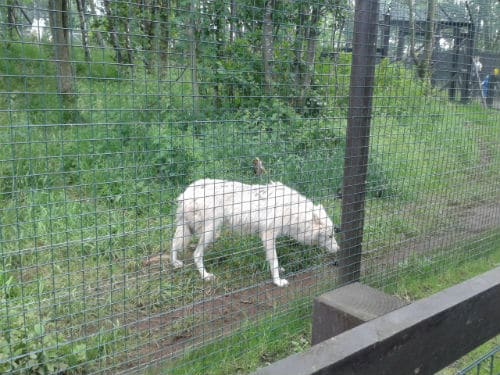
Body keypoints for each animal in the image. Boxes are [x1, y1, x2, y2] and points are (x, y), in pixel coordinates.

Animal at [172, 179, 340, 288]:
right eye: (330, 236)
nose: (339, 249)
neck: (292, 211)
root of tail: (185, 193)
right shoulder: (268, 235)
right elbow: (274, 260)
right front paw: (278, 281)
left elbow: (273, 259)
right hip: (211, 232)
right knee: (196, 254)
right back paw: (205, 276)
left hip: (190, 230)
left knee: (173, 242)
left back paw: (175, 263)